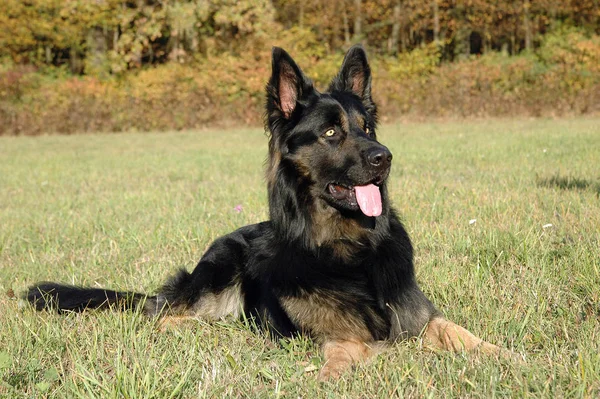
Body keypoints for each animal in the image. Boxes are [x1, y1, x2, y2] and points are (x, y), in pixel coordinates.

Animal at [25, 45, 508, 380]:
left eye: (367, 129)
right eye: (331, 132)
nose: (384, 157)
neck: (346, 248)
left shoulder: (420, 317)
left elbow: (462, 333)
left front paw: (508, 357)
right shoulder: (334, 334)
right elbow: (341, 353)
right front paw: (331, 376)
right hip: (215, 279)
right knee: (164, 318)